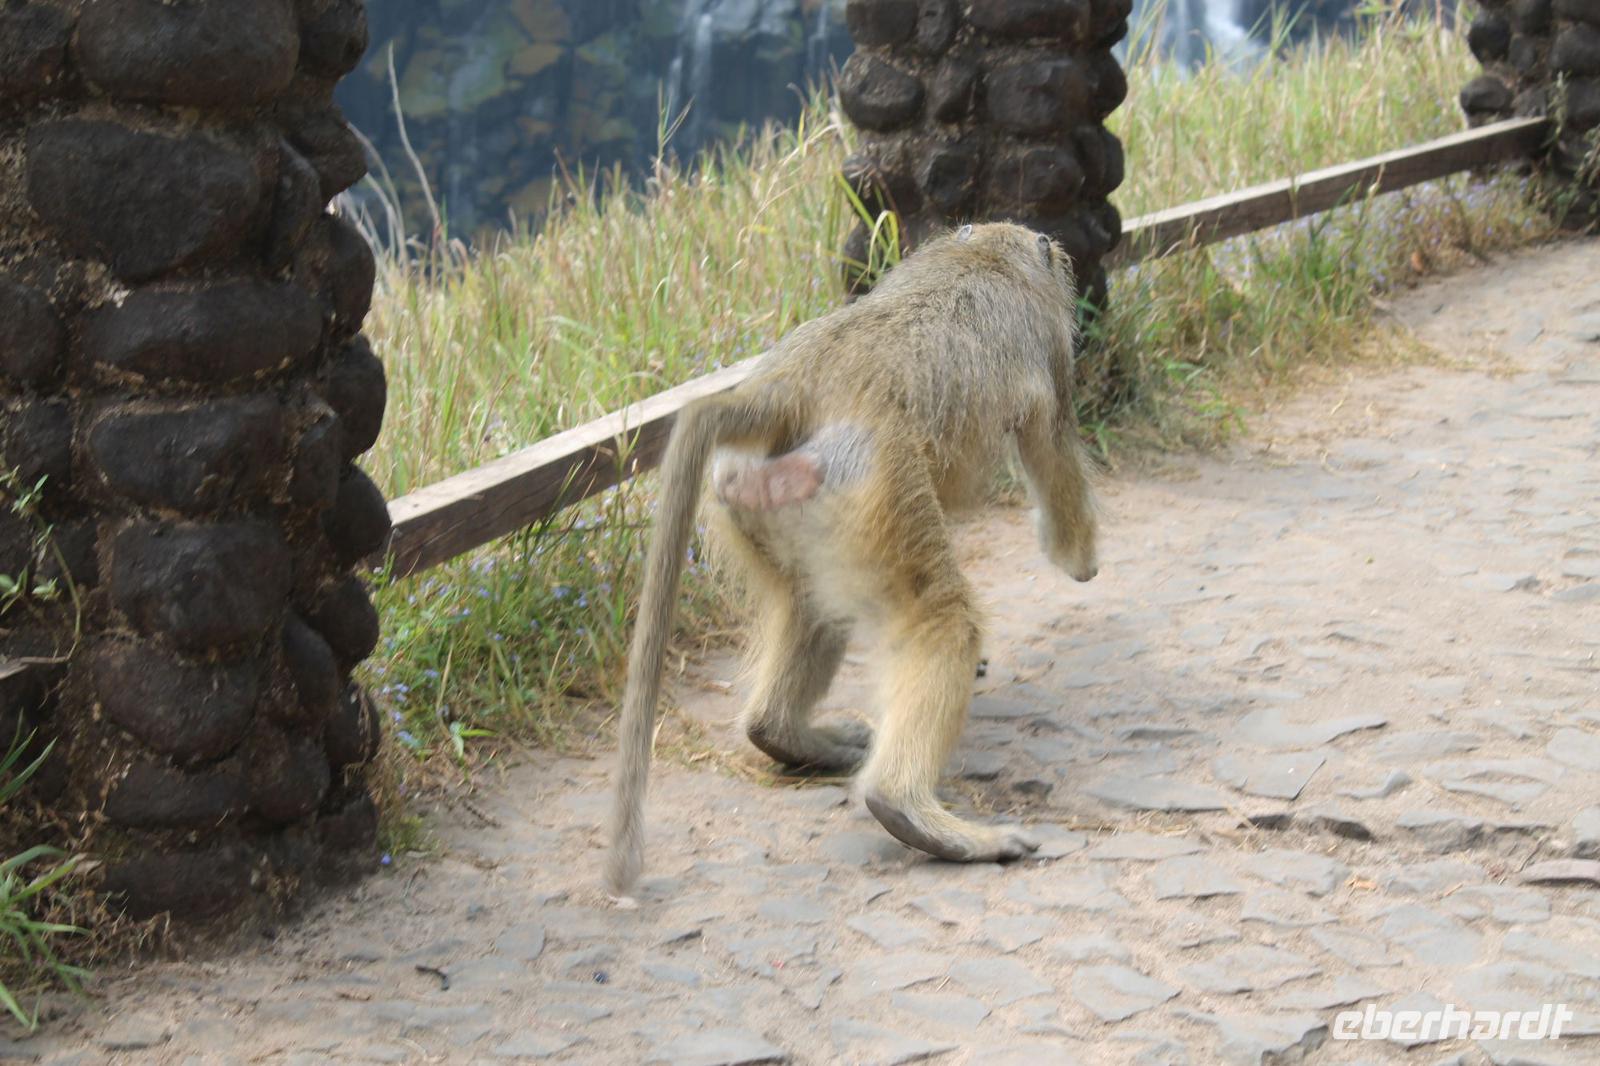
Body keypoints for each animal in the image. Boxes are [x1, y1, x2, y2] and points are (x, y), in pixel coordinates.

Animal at [605, 222, 1099, 898]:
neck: (984, 253)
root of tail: (792, 388)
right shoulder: (1047, 347)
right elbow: (1052, 453)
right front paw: (1080, 559)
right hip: (874, 484)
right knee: (943, 616)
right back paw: (911, 811)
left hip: (762, 497)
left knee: (812, 607)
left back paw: (781, 734)